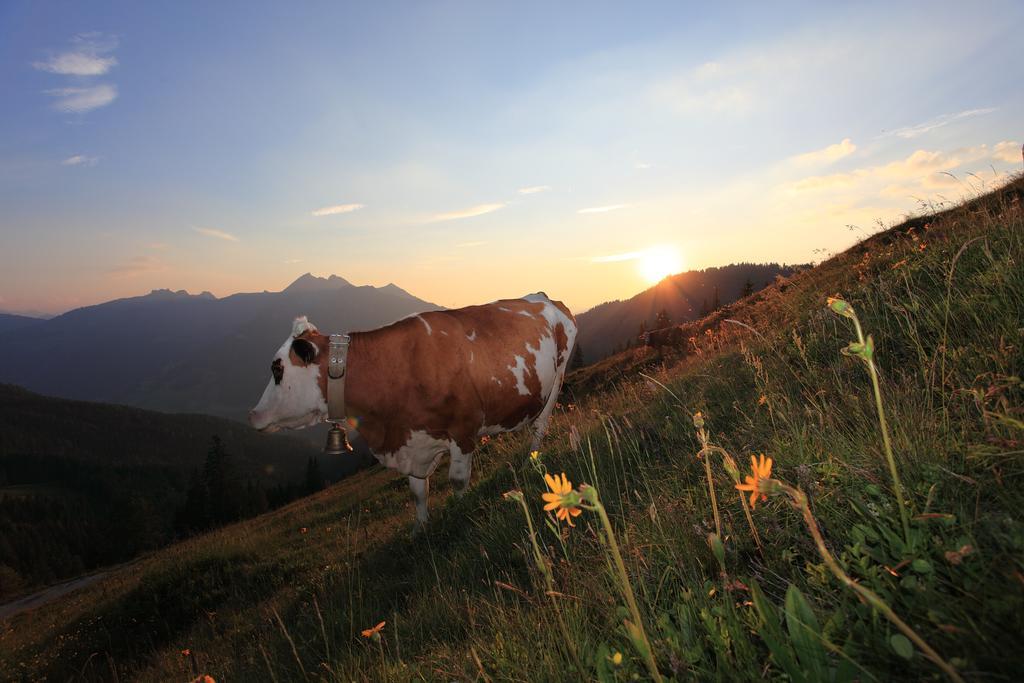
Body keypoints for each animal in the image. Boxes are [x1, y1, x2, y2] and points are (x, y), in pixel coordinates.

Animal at [248, 292, 577, 528]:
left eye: (277, 369)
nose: (253, 415)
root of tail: (546, 297)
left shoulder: (463, 428)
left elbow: (458, 480)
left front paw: (462, 510)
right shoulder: (411, 441)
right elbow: (418, 492)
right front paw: (421, 527)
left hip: (557, 378)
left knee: (540, 426)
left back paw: (531, 461)